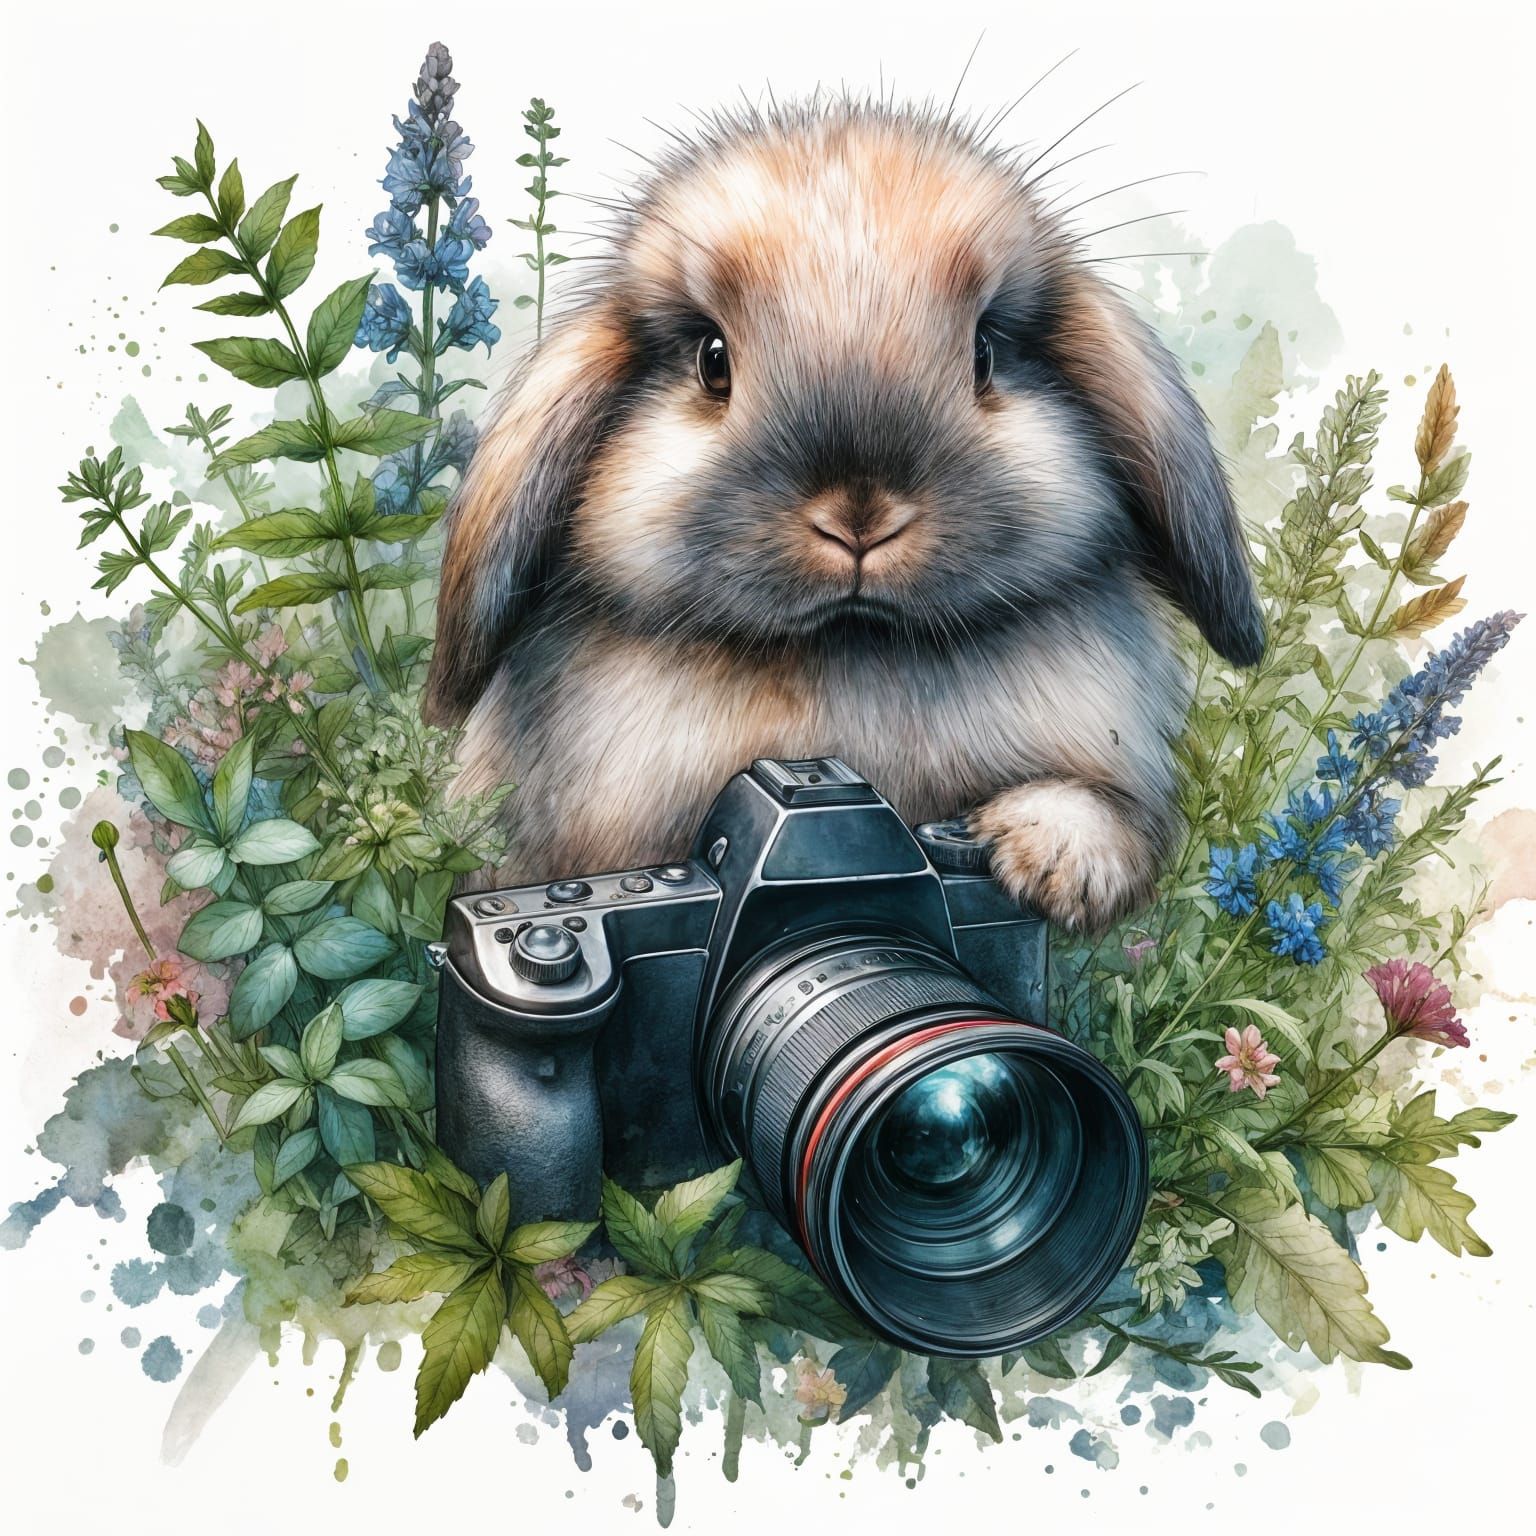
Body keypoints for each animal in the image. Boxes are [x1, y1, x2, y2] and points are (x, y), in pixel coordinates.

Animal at [424, 97, 1263, 936]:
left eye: (985, 352)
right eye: (712, 360)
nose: (860, 516)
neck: (851, 648)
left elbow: (1112, 815)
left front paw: (1051, 861)